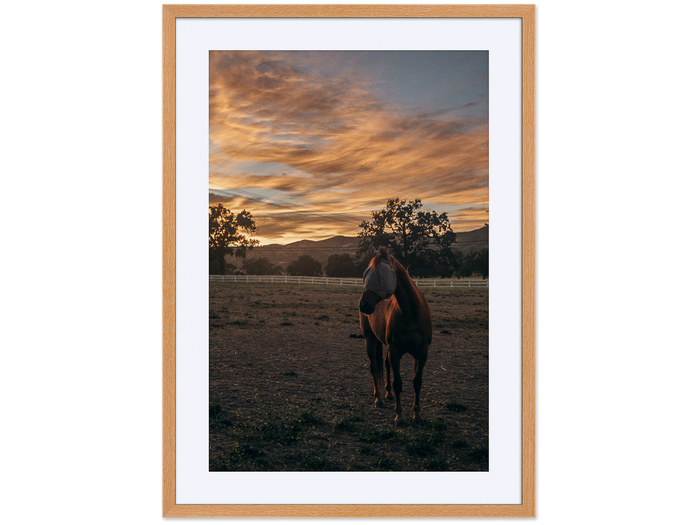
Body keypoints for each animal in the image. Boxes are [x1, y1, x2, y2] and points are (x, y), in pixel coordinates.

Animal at [358, 245, 433, 425]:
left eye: (380, 275)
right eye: (364, 274)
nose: (363, 304)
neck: (411, 313)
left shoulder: (422, 353)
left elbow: (417, 382)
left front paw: (417, 415)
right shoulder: (395, 351)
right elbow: (398, 383)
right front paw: (399, 416)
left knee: (385, 364)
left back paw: (388, 394)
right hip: (370, 339)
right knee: (373, 366)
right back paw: (378, 399)